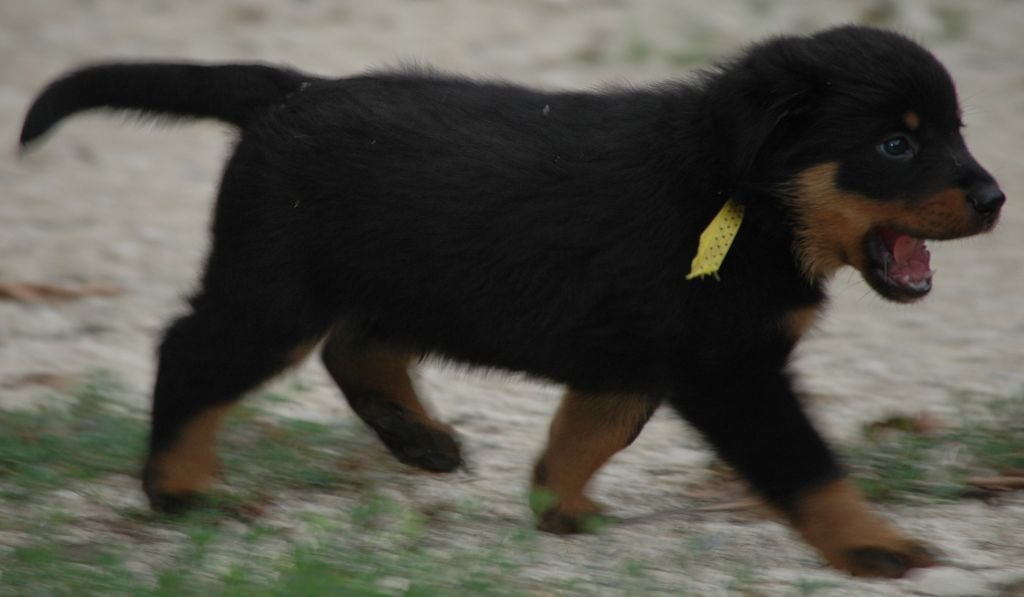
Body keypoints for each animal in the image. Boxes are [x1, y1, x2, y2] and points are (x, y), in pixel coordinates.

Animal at [19, 24, 1003, 577]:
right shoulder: (730, 370)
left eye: (955, 131)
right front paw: (874, 545)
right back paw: (179, 488)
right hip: (274, 290)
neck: (741, 193)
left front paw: (557, 506)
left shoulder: (637, 356)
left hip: (393, 276)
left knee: (357, 345)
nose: (996, 198)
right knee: (193, 352)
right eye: (894, 145)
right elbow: (808, 465)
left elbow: (588, 431)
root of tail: (292, 90)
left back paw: (416, 437)